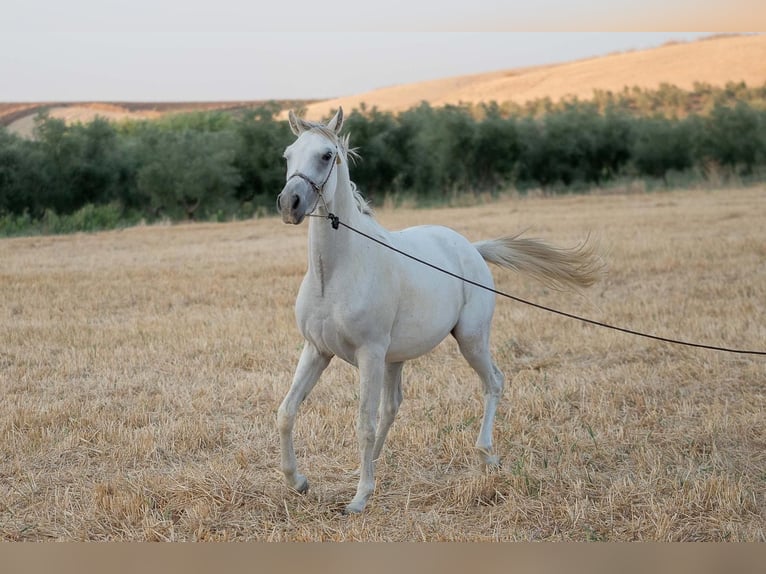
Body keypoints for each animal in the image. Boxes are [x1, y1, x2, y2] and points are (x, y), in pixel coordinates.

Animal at [276, 108, 608, 516]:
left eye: (326, 155)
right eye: (288, 155)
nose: (289, 204)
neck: (336, 272)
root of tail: (473, 249)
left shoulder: (369, 354)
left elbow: (363, 424)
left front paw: (359, 498)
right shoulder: (317, 350)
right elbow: (287, 412)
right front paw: (298, 482)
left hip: (470, 340)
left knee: (493, 382)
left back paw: (486, 455)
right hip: (395, 359)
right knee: (392, 407)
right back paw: (376, 464)